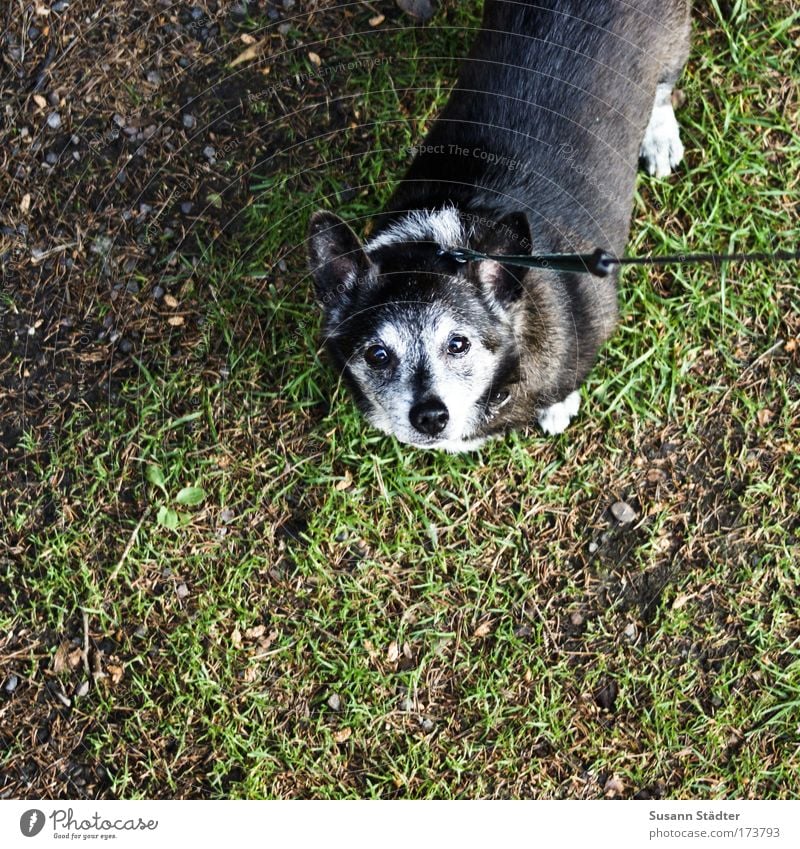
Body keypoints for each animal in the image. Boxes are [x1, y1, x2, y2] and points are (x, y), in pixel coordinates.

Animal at [306, 0, 688, 450]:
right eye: (376, 355)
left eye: (458, 344)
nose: (430, 416)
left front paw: (558, 407)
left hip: (672, 43)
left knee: (663, 90)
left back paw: (660, 139)